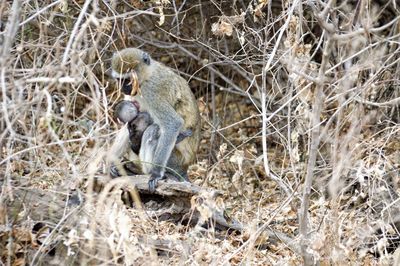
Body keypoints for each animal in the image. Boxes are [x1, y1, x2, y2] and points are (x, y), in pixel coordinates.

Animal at [111, 48, 202, 191]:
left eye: (128, 80)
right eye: (119, 80)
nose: (123, 88)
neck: (148, 75)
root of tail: (185, 166)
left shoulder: (151, 91)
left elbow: (173, 123)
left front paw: (156, 174)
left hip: (175, 161)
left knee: (153, 130)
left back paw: (145, 171)